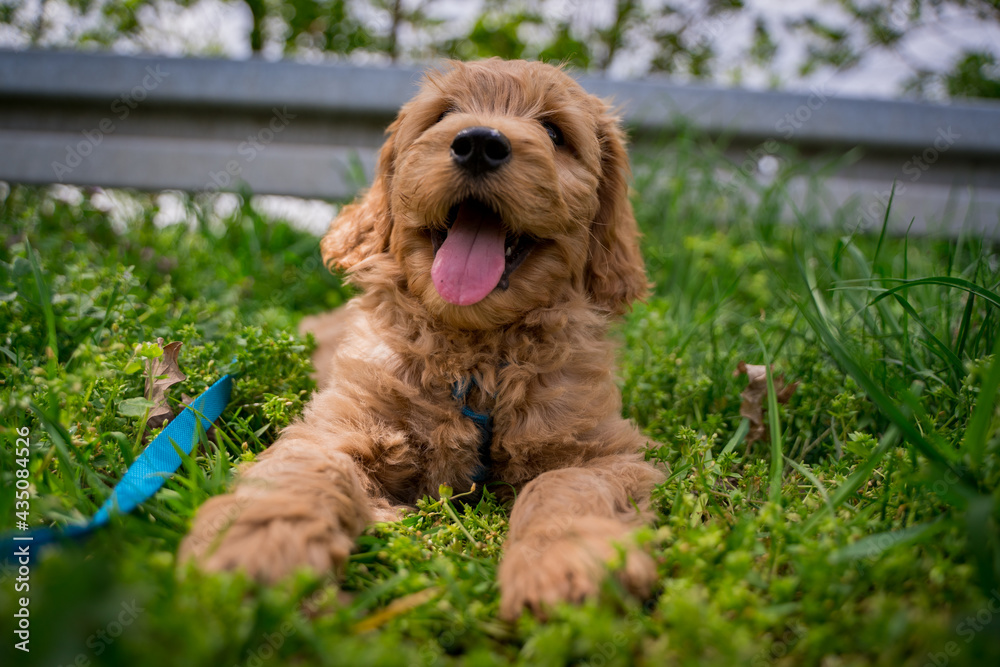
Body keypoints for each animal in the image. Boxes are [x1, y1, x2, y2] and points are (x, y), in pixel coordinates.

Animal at [180, 58, 664, 620]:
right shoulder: (340, 422)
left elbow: (563, 483)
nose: (479, 142)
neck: (477, 356)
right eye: (443, 115)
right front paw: (256, 546)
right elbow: (307, 468)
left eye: (554, 132)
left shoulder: (600, 448)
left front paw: (566, 565)